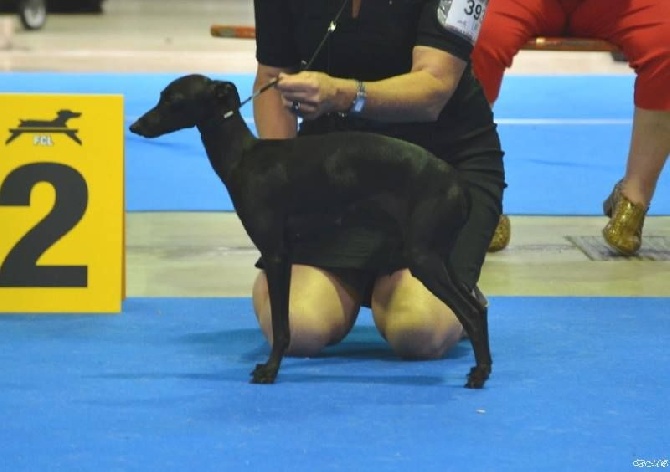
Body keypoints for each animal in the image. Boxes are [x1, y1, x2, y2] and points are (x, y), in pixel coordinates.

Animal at [130, 74, 494, 390]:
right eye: (162, 96)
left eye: (172, 100)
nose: (135, 126)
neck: (245, 157)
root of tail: (457, 183)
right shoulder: (286, 255)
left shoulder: (276, 254)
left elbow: (281, 325)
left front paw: (270, 370)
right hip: (439, 255)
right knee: (478, 308)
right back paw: (481, 367)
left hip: (423, 257)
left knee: (471, 312)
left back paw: (480, 374)